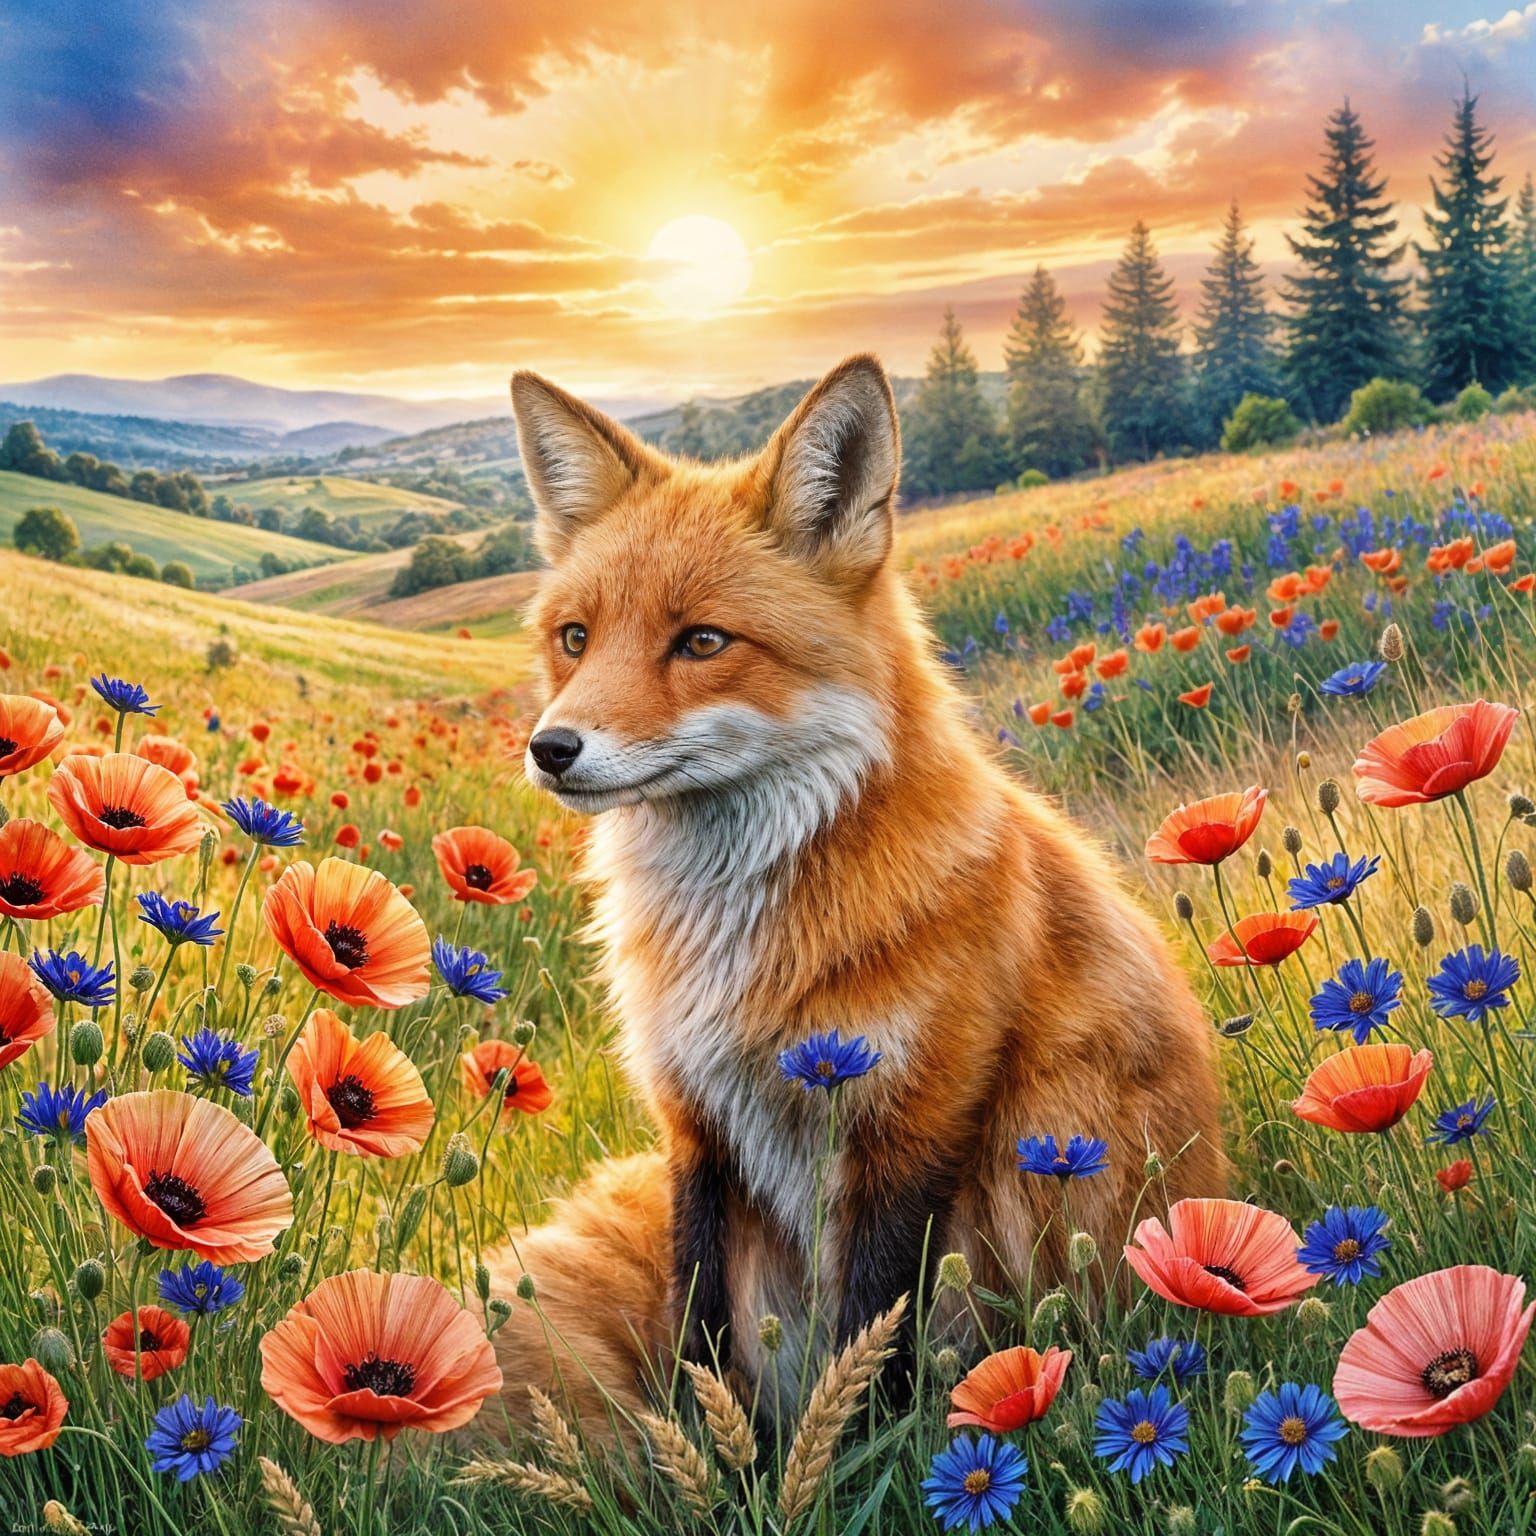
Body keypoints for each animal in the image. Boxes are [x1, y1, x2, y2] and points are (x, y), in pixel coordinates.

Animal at [482, 353, 1225, 1441]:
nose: (552, 749)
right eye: (576, 638)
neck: (737, 944)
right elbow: (704, 1347)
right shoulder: (695, 1131)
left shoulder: (913, 1125)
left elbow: (871, 1347)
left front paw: (846, 1460)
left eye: (702, 642)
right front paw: (727, 1463)